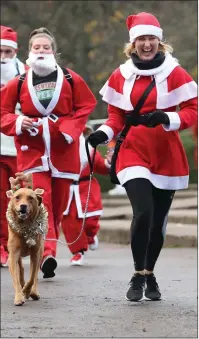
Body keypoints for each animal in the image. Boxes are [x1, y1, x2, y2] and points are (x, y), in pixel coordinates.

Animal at [5, 174, 47, 306]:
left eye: (30, 198)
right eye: (17, 197)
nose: (23, 206)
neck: (26, 227)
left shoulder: (35, 254)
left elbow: (32, 277)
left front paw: (27, 291)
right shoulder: (13, 255)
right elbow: (16, 278)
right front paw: (19, 297)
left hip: (40, 251)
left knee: (35, 275)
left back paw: (33, 292)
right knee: (21, 270)